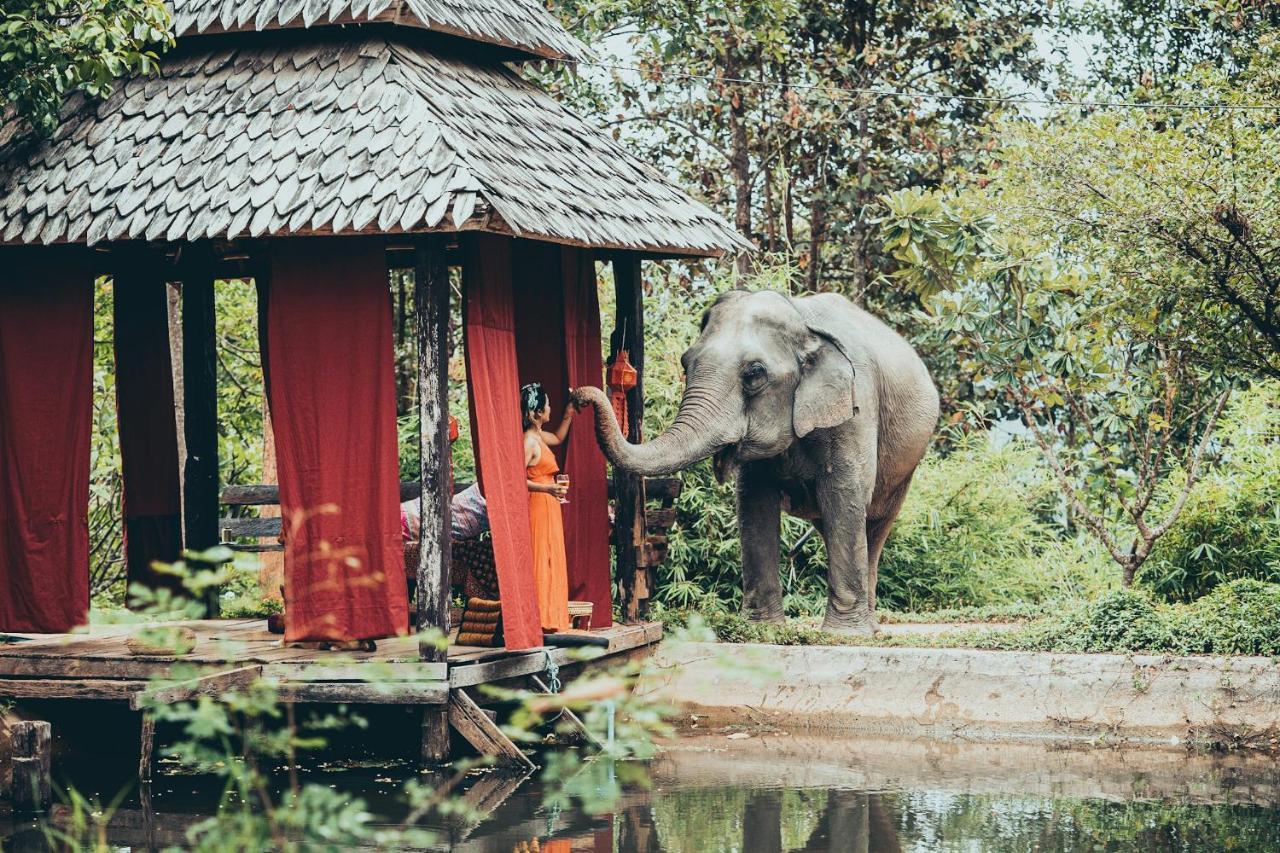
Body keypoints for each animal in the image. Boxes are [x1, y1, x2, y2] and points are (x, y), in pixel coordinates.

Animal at [576, 286, 936, 630]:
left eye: (754, 374)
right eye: (685, 362)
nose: (577, 396)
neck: (801, 322)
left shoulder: (855, 409)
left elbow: (843, 496)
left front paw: (842, 635)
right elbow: (754, 502)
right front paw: (765, 629)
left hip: (905, 466)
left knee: (874, 524)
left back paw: (868, 627)